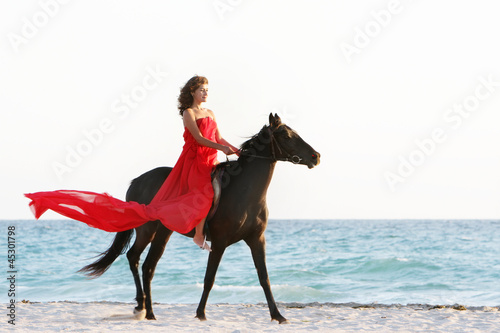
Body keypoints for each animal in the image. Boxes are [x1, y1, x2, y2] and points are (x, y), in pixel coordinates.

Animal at [78, 113, 320, 322]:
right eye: (286, 136)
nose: (316, 156)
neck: (244, 190)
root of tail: (137, 181)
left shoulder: (256, 239)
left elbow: (264, 278)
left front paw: (278, 316)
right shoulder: (220, 242)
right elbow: (209, 278)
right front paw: (201, 313)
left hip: (157, 231)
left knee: (138, 260)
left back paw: (142, 307)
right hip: (151, 230)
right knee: (143, 263)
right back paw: (149, 312)